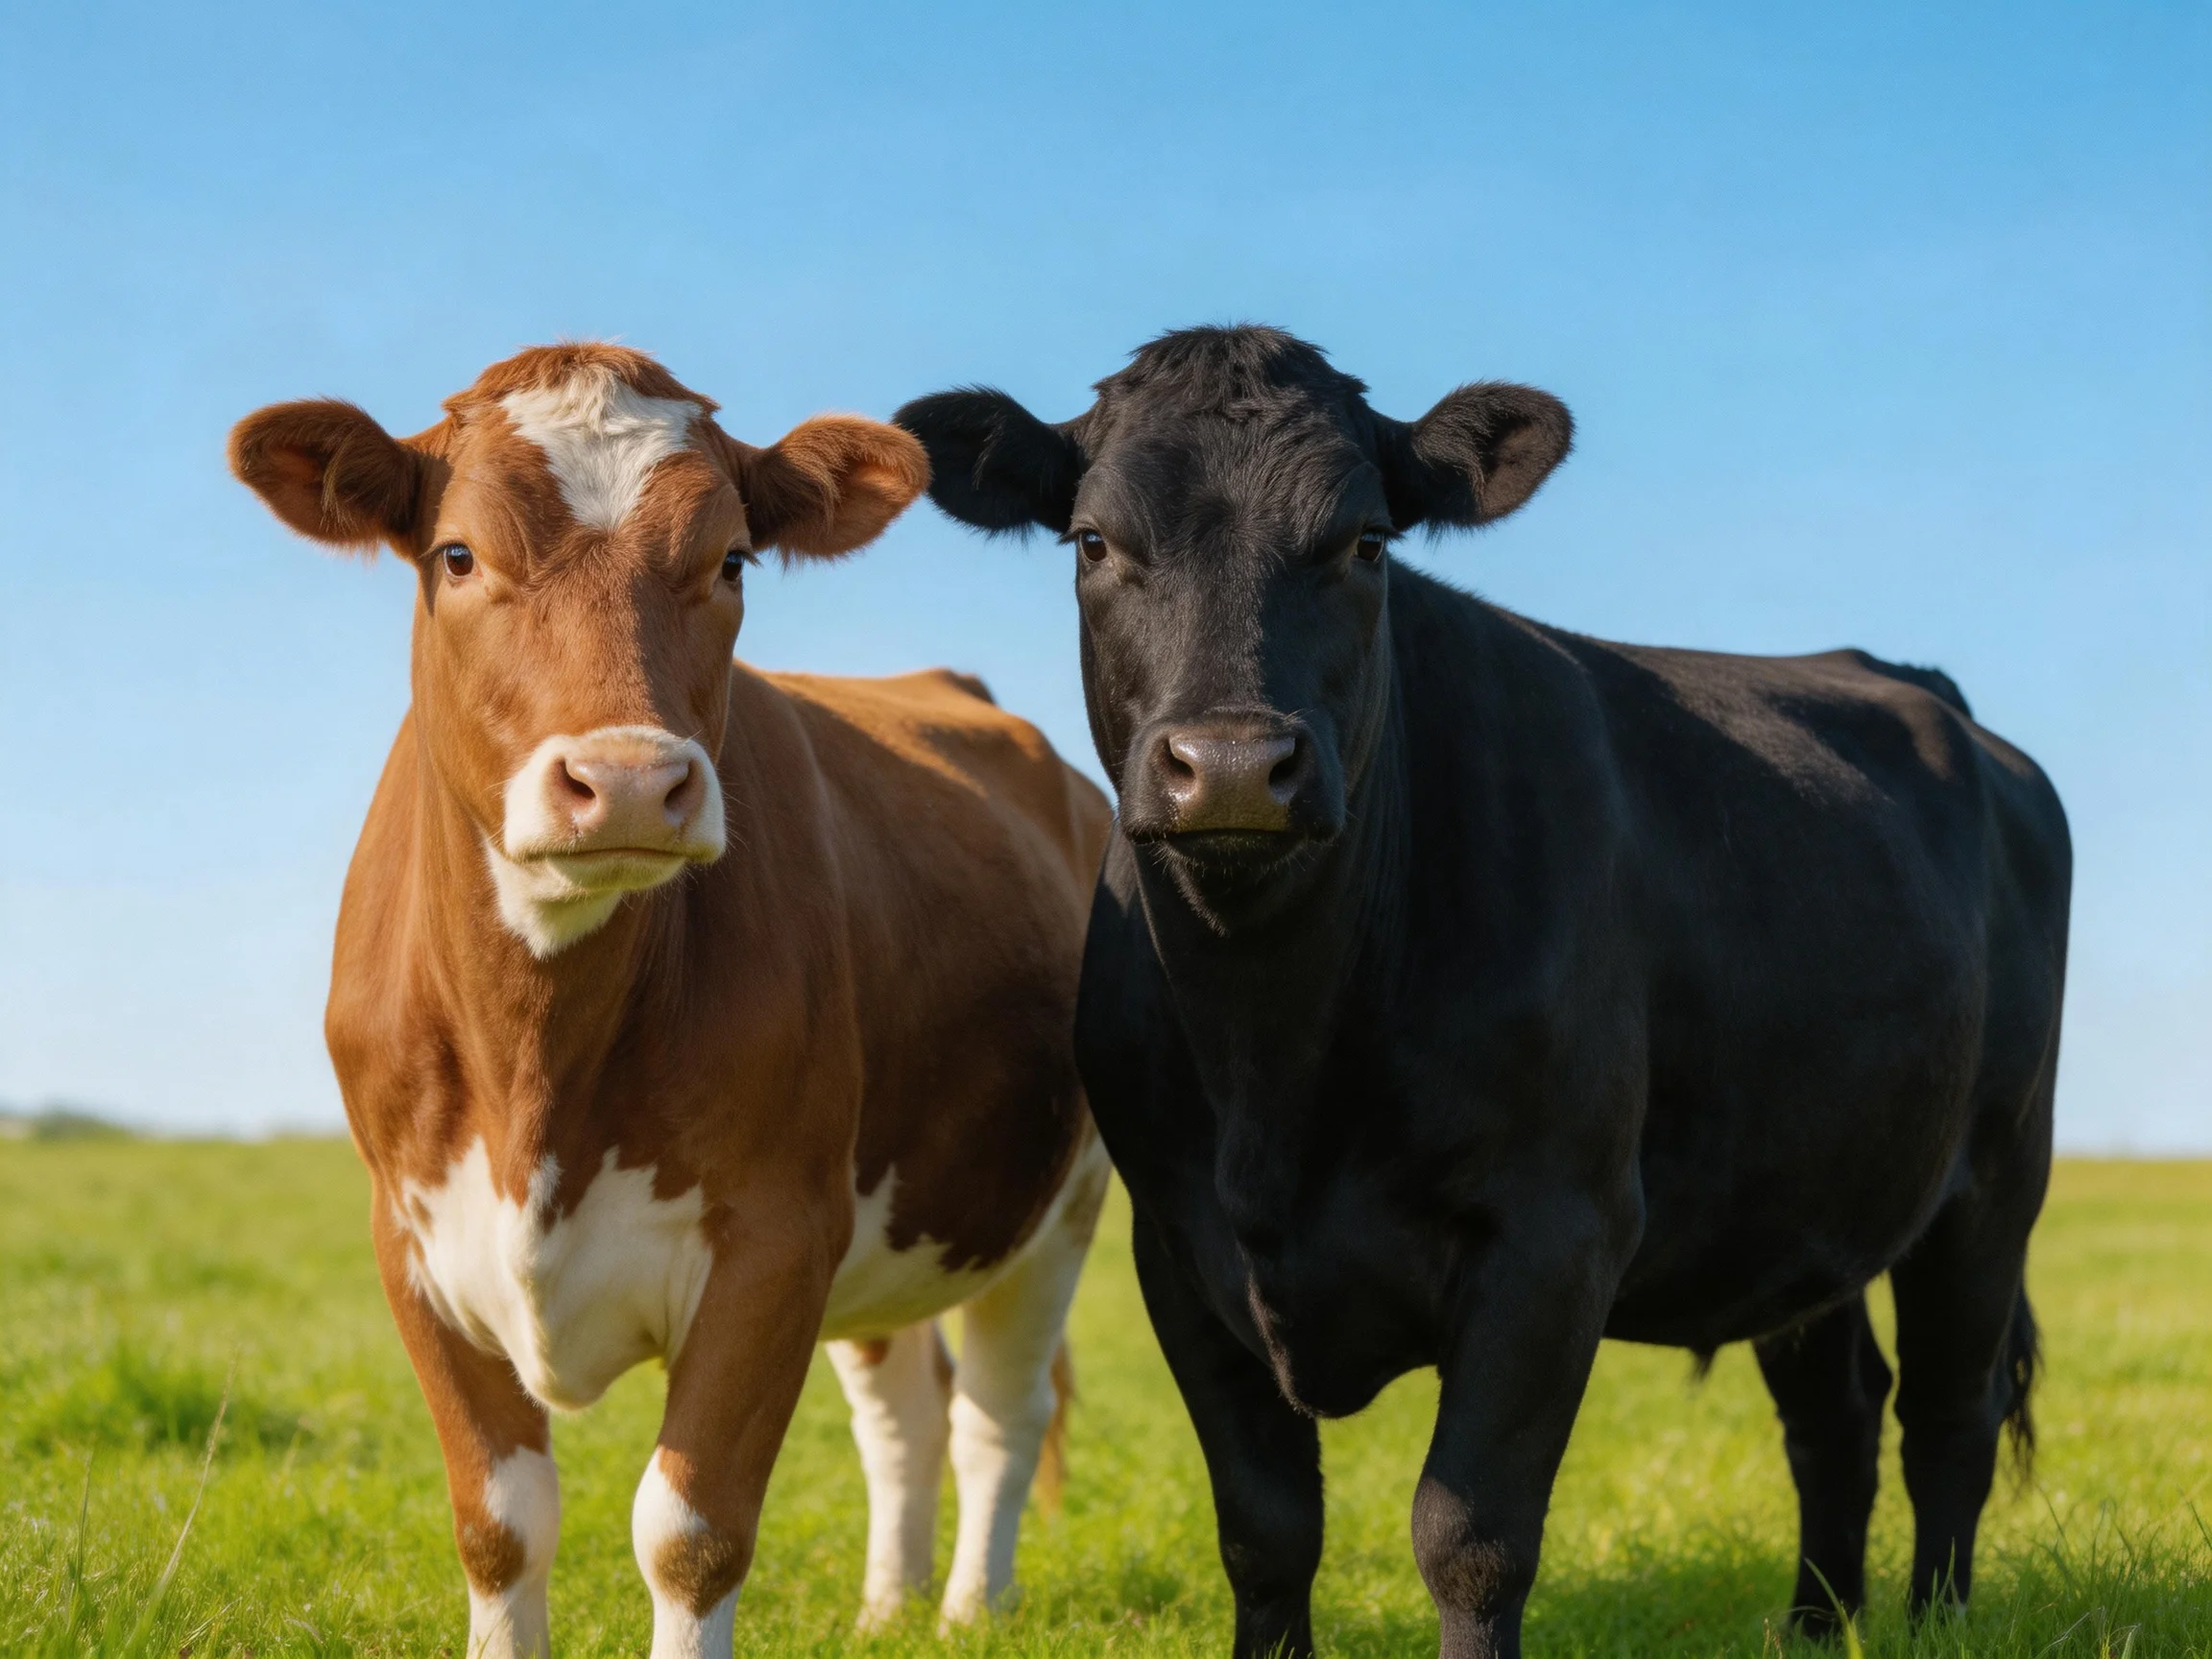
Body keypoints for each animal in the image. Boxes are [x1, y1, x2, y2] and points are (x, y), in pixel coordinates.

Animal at [229, 343, 1113, 1659]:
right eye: (458, 555)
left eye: (731, 560)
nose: (632, 781)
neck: (535, 1060)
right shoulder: (412, 1239)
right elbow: (499, 1524)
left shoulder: (777, 1236)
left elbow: (691, 1532)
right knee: (906, 1404)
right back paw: (886, 1607)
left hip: (1060, 1203)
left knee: (997, 1415)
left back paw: (967, 1611)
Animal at [896, 325, 2071, 1659]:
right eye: (1094, 542)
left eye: (1365, 542)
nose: (1235, 767)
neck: (1275, 1059)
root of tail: (1915, 685)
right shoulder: (1179, 1247)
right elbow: (1264, 1531)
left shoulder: (1556, 1231)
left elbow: (1471, 1537)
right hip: (1803, 1196)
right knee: (1839, 1412)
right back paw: (1816, 1627)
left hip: (1995, 1174)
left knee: (1950, 1412)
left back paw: (1935, 1619)